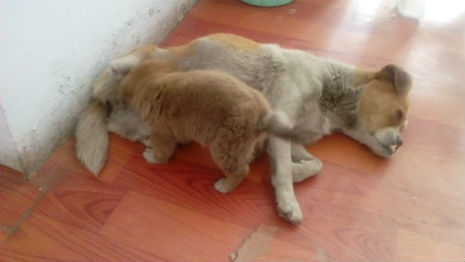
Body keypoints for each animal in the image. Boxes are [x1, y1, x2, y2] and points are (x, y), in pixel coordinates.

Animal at [118, 59, 290, 193]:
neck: (154, 80)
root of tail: (262, 113)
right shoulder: (179, 130)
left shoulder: (161, 133)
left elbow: (162, 153)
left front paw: (151, 155)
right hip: (244, 143)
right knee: (255, 151)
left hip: (224, 147)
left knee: (241, 170)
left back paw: (225, 186)